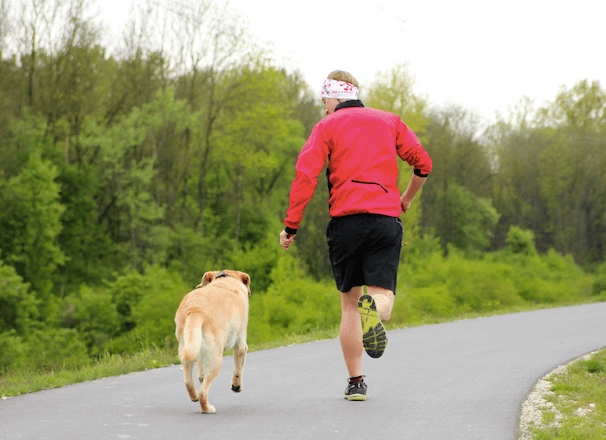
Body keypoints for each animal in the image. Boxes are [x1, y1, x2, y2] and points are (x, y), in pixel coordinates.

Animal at [176, 270, 252, 414]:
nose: (249, 292)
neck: (225, 279)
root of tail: (196, 310)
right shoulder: (241, 345)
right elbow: (238, 369)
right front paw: (236, 386)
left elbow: (200, 366)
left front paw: (201, 376)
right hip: (216, 359)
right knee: (203, 392)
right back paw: (207, 409)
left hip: (187, 349)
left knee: (188, 381)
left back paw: (194, 396)